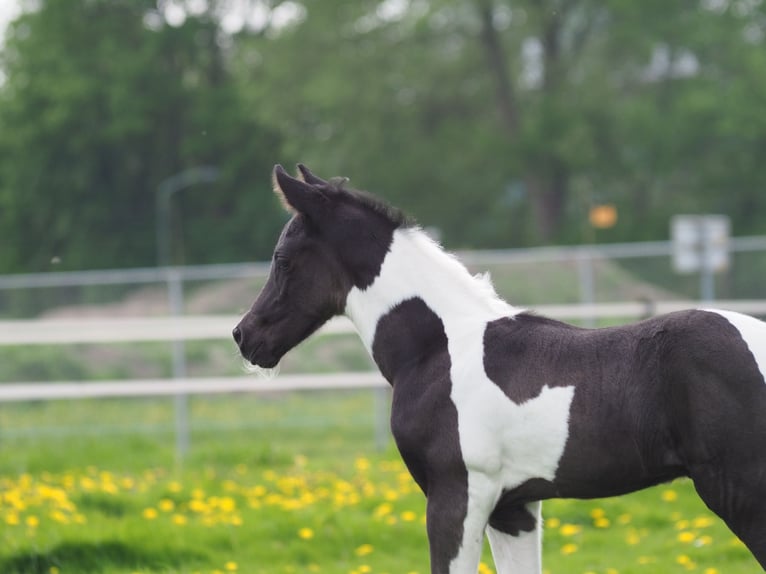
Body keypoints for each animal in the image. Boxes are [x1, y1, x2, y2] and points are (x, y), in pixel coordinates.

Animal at [234, 164, 766, 572]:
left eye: (283, 259)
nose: (245, 336)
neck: (440, 346)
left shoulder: (457, 496)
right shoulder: (514, 510)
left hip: (741, 491)